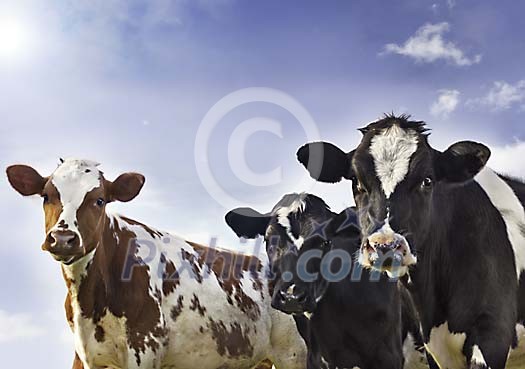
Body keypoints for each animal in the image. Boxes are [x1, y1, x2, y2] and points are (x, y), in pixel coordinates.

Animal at [5, 158, 308, 368]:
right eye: (46, 196)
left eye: (100, 200)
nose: (63, 238)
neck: (90, 301)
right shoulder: (84, 353)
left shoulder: (144, 347)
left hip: (294, 354)